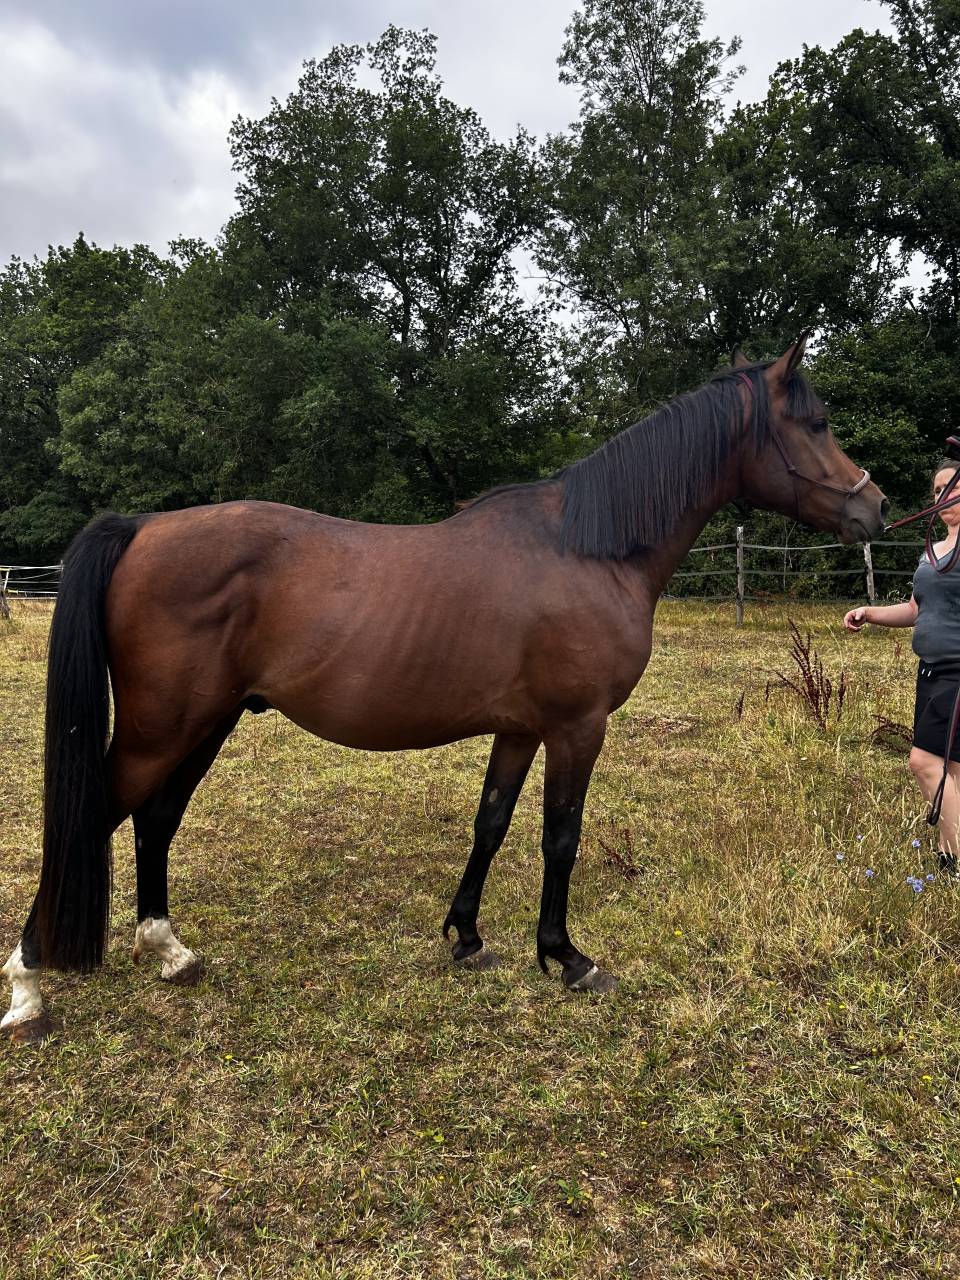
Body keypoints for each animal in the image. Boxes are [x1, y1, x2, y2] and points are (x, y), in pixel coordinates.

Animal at [2, 336, 887, 1041]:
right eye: (816, 423)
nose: (875, 506)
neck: (589, 549)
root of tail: (142, 528)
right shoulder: (577, 726)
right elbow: (559, 837)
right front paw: (567, 957)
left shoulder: (520, 728)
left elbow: (490, 825)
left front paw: (467, 938)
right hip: (161, 730)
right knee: (95, 820)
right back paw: (29, 989)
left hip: (206, 723)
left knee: (156, 819)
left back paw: (168, 950)